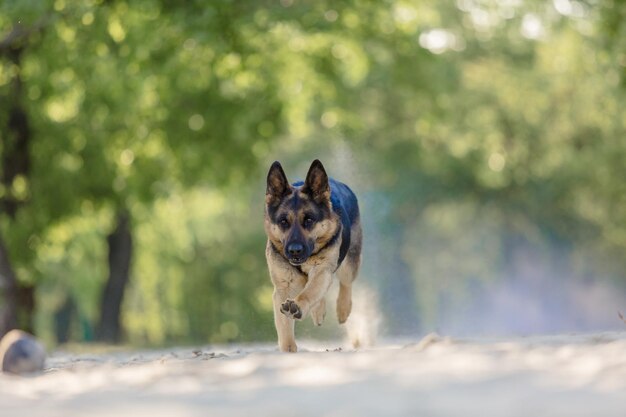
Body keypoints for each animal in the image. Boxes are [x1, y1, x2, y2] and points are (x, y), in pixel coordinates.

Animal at [264, 159, 360, 352]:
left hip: (348, 263)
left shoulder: (322, 270)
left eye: (308, 220)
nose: (294, 250)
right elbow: (285, 328)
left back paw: (343, 308)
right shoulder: (283, 288)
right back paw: (318, 311)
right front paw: (288, 349)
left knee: (345, 283)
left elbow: (309, 293)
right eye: (283, 221)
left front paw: (298, 306)